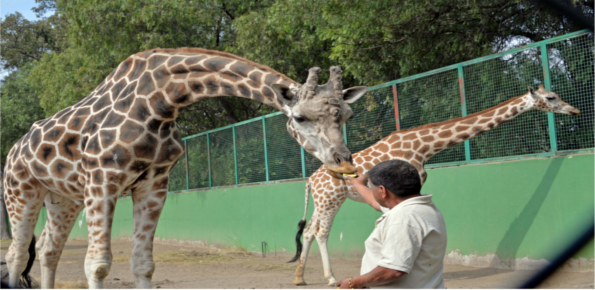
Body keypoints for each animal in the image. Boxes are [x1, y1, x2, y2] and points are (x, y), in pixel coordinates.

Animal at [2, 47, 368, 288]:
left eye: (347, 115)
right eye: (300, 117)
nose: (342, 160)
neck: (161, 102)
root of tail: (14, 150)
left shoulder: (154, 185)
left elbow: (143, 265)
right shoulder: (103, 181)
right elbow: (97, 266)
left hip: (64, 198)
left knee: (48, 249)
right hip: (21, 192)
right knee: (17, 255)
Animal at [292, 84, 580, 286]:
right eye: (551, 97)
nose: (575, 110)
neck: (424, 147)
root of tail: (310, 180)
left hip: (324, 200)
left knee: (309, 230)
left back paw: (300, 277)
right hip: (331, 200)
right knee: (321, 232)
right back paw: (330, 278)